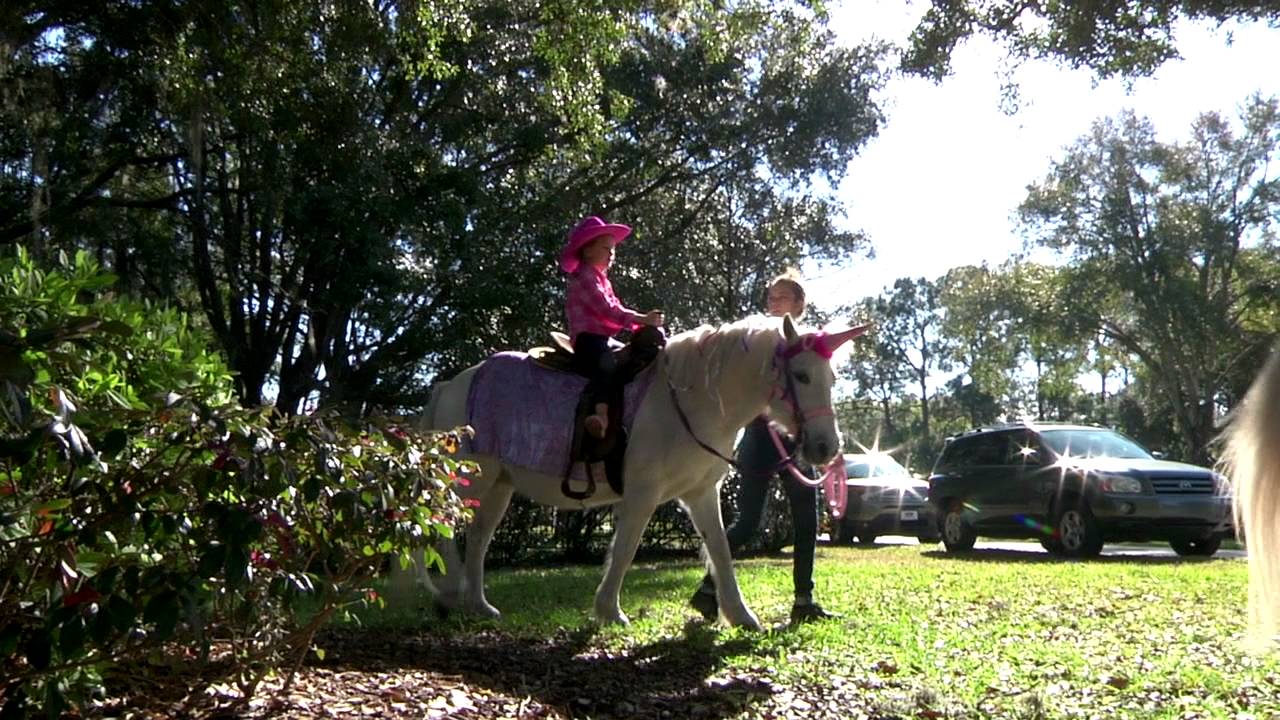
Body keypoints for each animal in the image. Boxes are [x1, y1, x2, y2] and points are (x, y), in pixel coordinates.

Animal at [401, 314, 864, 628]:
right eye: (801, 375)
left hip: (498, 485)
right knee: (443, 529)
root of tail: (451, 386)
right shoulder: (643, 493)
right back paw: (452, 596)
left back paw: (478, 605)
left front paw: (739, 615)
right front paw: (609, 611)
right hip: (470, 478)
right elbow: (625, 548)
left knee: (478, 538)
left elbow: (720, 549)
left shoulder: (701, 493)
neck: (691, 401)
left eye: (831, 377)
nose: (825, 448)